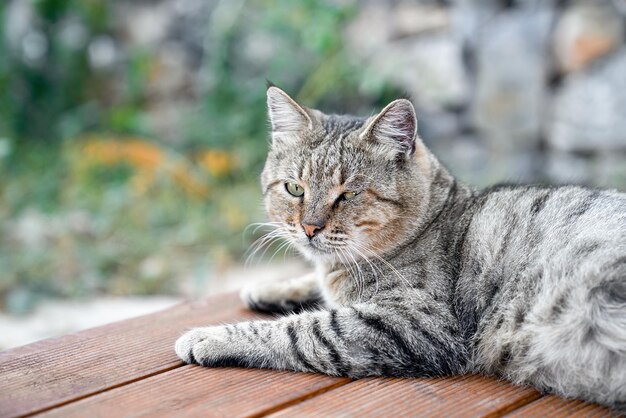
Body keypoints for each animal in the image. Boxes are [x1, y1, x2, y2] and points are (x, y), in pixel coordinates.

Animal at [172, 85, 624, 412]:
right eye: (294, 189)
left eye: (347, 194)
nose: (309, 228)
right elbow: (316, 287)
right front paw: (271, 289)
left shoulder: (416, 322)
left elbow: (305, 329)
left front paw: (209, 336)